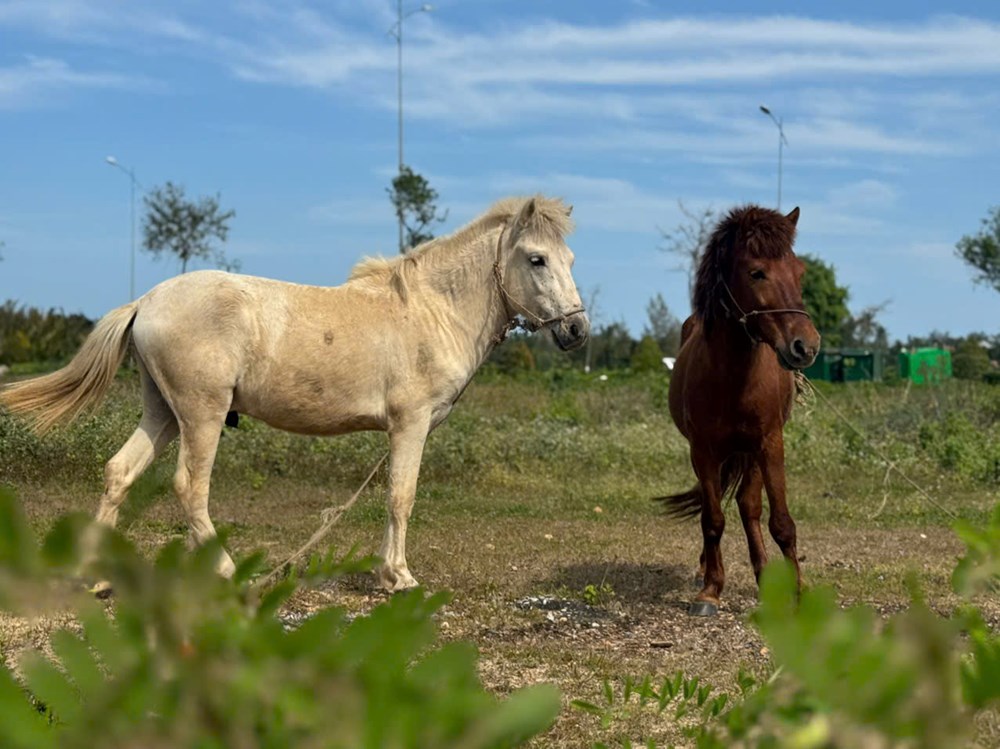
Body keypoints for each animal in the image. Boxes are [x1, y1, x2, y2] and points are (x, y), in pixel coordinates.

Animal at [1, 195, 590, 591]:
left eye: (571, 261)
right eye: (536, 259)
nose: (578, 330)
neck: (432, 310)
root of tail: (146, 300)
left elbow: (392, 496)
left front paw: (386, 572)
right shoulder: (411, 424)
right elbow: (401, 496)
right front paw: (399, 576)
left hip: (162, 412)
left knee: (119, 473)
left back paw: (96, 578)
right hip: (201, 415)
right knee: (189, 487)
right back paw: (226, 570)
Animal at [658, 205, 820, 616]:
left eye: (799, 272)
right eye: (756, 272)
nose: (806, 346)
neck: (733, 376)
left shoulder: (770, 444)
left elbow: (781, 522)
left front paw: (799, 591)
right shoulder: (703, 451)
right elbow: (712, 518)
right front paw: (710, 590)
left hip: (751, 453)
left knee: (749, 507)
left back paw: (764, 574)